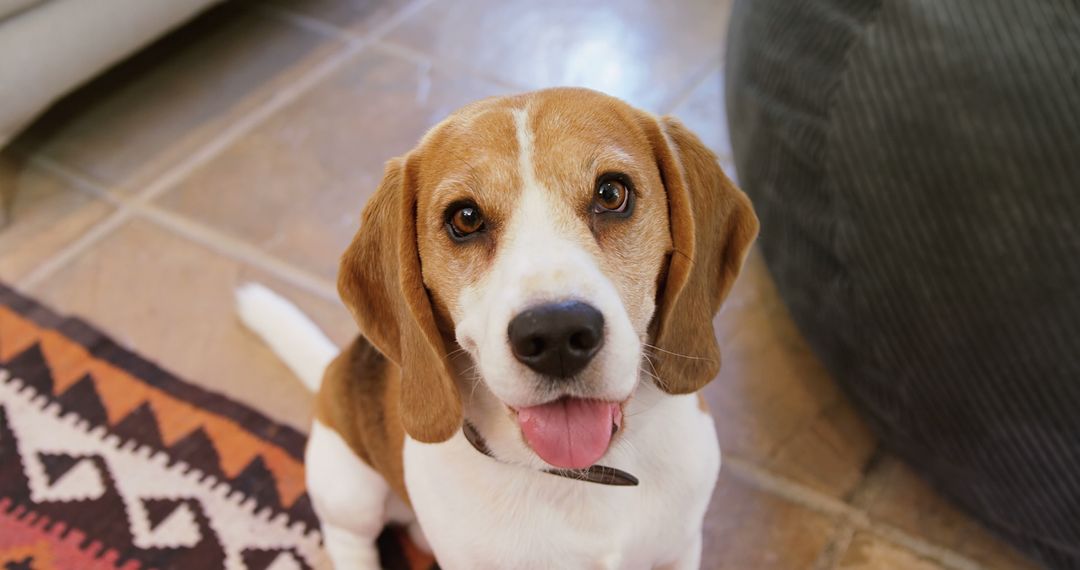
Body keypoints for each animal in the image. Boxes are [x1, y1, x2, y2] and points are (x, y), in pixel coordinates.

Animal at [236, 86, 760, 565]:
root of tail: (334, 366)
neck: (584, 476)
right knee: (349, 539)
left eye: (612, 193)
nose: (556, 335)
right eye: (465, 218)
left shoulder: (681, 549)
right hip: (348, 490)